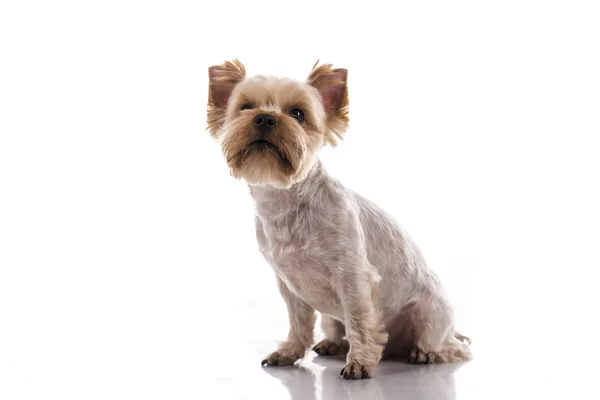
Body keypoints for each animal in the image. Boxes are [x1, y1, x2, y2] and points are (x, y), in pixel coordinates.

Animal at [206, 58, 474, 378]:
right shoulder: (289, 285)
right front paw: (289, 352)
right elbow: (299, 321)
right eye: (245, 107)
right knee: (335, 327)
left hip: (429, 312)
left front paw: (359, 362)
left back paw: (425, 352)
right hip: (331, 318)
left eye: (298, 114)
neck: (286, 203)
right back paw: (333, 344)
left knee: (447, 345)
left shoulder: (352, 276)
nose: (265, 119)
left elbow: (359, 319)